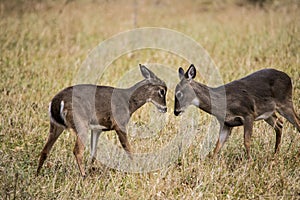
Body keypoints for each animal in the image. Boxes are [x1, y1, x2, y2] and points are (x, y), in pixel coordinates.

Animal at [36, 63, 168, 177]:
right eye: (162, 91)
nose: (165, 108)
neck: (128, 102)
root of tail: (56, 101)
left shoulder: (97, 129)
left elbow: (94, 153)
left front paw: (91, 169)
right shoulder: (119, 124)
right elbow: (128, 148)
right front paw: (137, 168)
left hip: (56, 125)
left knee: (45, 150)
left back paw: (37, 174)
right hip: (80, 124)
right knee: (77, 150)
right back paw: (83, 176)